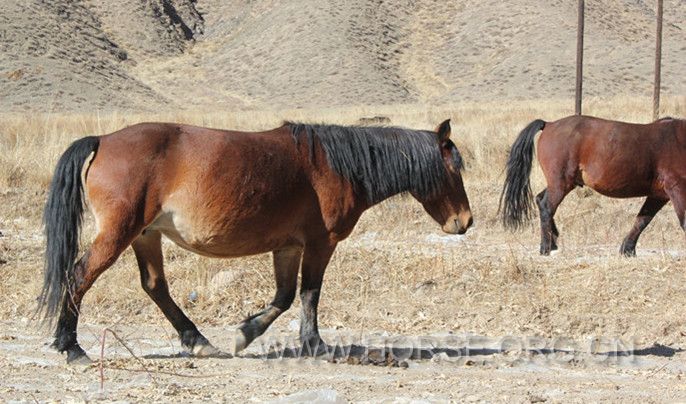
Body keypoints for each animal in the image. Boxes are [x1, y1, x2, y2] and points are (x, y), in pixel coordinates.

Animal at [500, 115, 686, 256]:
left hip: (561, 183)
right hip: (561, 183)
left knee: (540, 200)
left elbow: (642, 220)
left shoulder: (658, 195)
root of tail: (550, 124)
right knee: (547, 206)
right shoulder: (676, 188)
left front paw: (627, 249)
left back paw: (552, 242)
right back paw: (545, 247)